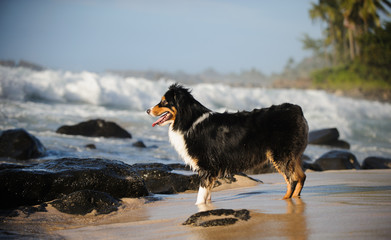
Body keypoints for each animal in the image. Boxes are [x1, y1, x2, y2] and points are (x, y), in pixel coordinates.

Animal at [147, 84, 310, 204]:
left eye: (164, 102)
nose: (147, 110)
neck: (189, 120)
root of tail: (297, 109)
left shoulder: (206, 167)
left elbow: (200, 195)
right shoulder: (211, 170)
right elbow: (207, 194)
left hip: (280, 156)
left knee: (292, 180)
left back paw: (285, 200)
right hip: (293, 156)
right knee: (301, 177)